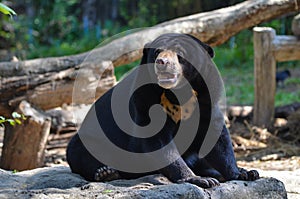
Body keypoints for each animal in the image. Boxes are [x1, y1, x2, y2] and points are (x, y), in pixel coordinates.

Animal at [67, 33, 258, 188]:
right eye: (157, 52)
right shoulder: (144, 99)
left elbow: (217, 137)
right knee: (81, 152)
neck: (179, 91)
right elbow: (157, 140)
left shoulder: (206, 97)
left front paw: (243, 173)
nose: (162, 63)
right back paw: (106, 172)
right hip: (91, 140)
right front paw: (200, 180)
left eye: (180, 53)